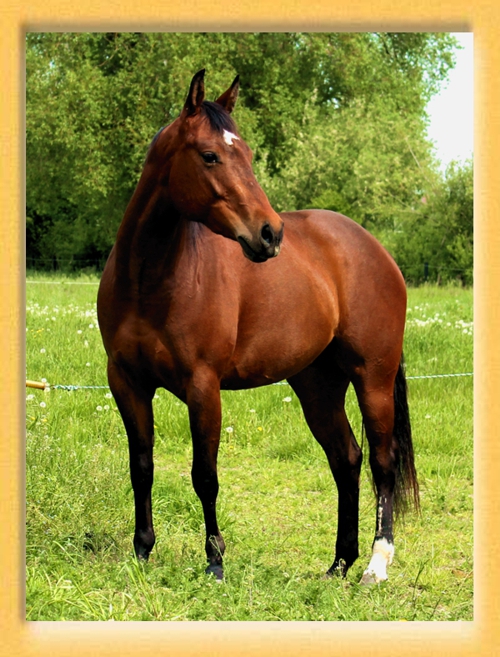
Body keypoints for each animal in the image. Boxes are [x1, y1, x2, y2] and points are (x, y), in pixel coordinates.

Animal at [97, 69, 419, 585]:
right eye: (210, 155)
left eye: (247, 154)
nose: (270, 234)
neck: (151, 279)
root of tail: (375, 249)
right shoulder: (126, 382)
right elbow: (141, 465)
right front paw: (143, 551)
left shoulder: (203, 386)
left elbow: (204, 475)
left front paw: (215, 561)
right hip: (317, 385)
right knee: (347, 459)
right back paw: (338, 564)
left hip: (374, 378)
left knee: (382, 463)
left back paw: (375, 564)